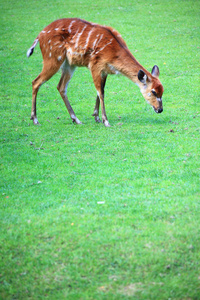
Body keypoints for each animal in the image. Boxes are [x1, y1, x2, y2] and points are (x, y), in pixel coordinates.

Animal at [27, 18, 164, 126]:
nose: (160, 109)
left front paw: (97, 117)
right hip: (52, 58)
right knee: (36, 81)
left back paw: (76, 119)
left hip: (69, 64)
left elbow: (101, 91)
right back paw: (35, 119)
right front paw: (105, 121)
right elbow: (101, 92)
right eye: (153, 92)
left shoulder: (105, 71)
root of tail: (39, 35)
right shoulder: (95, 66)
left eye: (162, 91)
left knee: (61, 86)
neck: (114, 53)